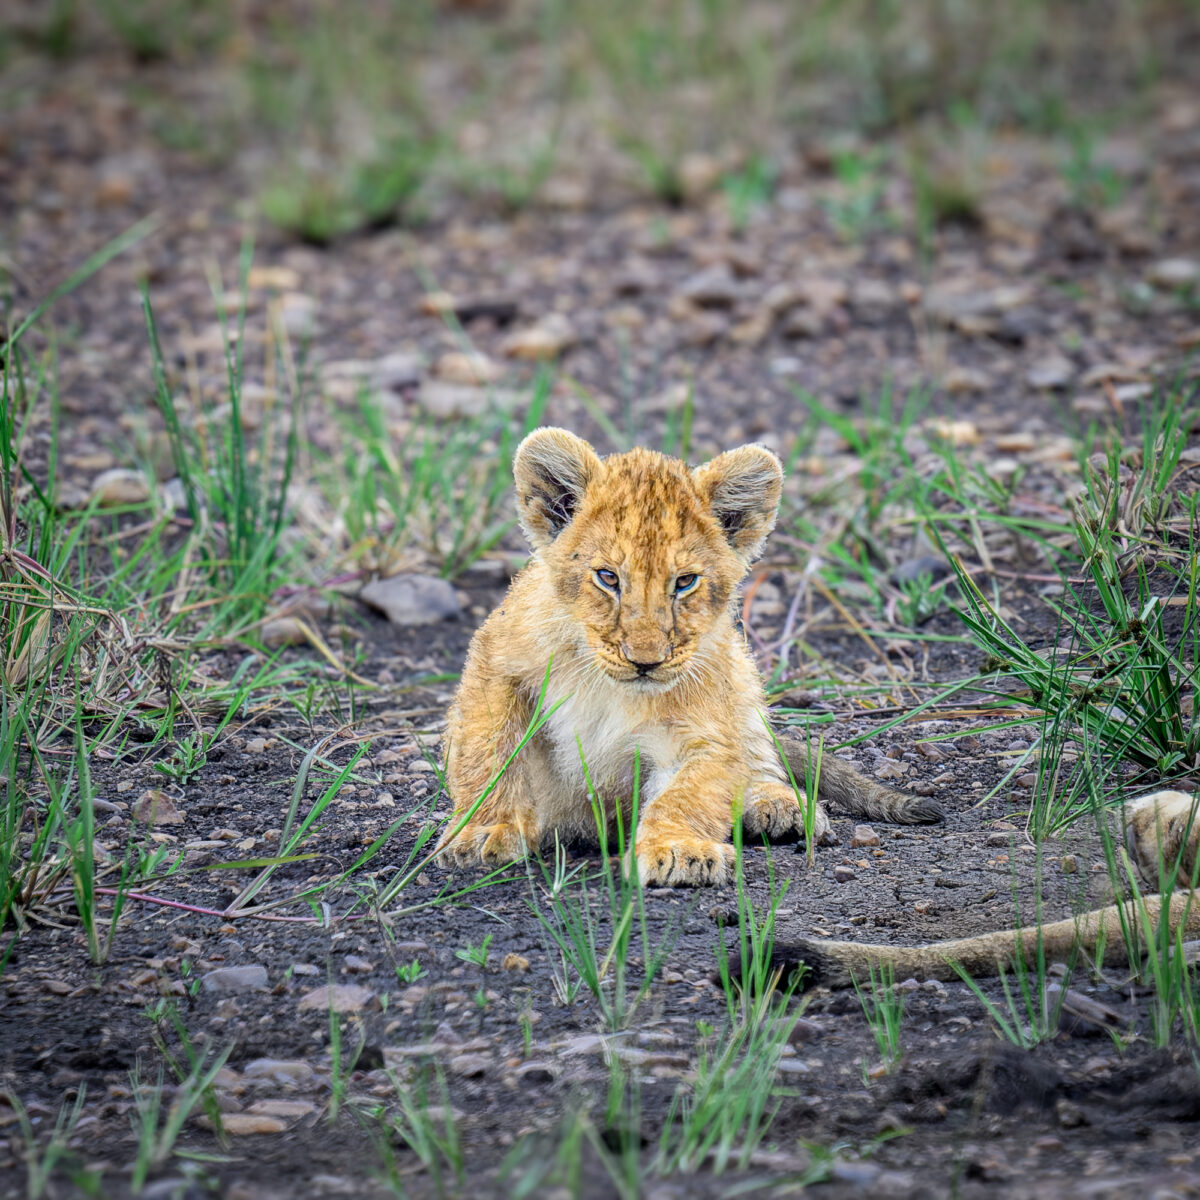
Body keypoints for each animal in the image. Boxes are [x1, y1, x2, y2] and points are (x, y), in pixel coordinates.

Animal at [438, 427, 941, 886]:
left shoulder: (702, 728)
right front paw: (484, 832)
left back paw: (777, 804)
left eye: (684, 582)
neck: (607, 683)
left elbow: (688, 792)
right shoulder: (495, 662)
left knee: (756, 750)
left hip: (736, 668)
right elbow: (490, 752)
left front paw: (679, 849)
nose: (646, 661)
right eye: (607, 577)